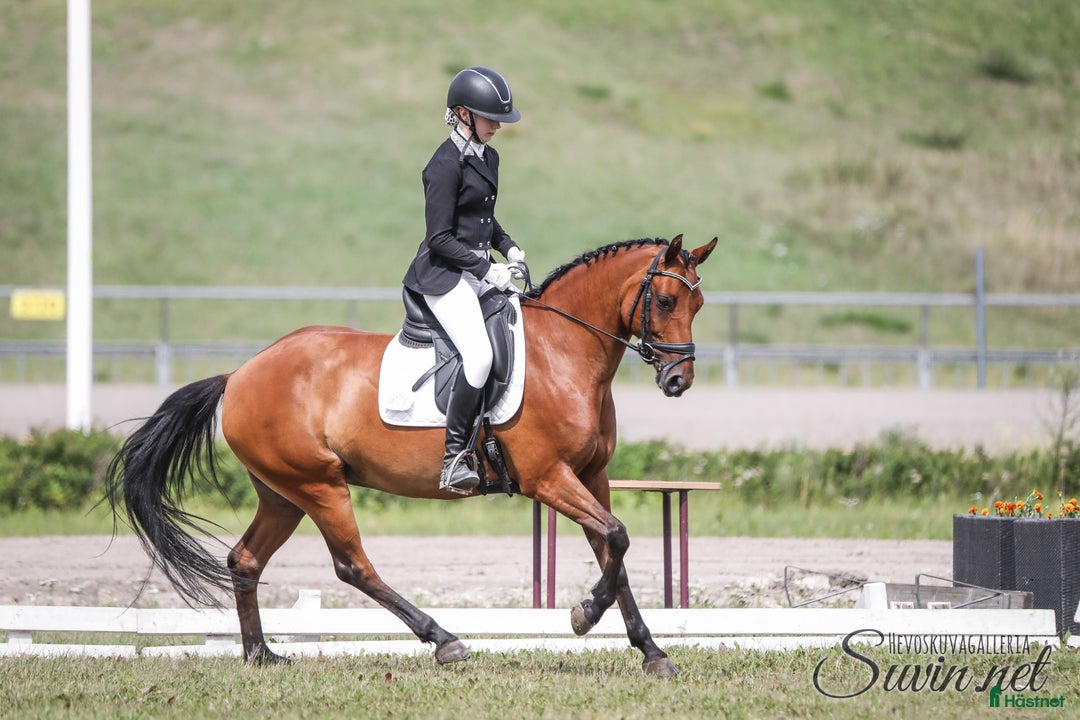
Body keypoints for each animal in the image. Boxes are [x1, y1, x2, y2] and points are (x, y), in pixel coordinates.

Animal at [105, 234, 717, 677]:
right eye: (665, 300)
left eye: (699, 303)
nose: (678, 380)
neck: (564, 352)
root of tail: (240, 374)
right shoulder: (548, 477)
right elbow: (616, 538)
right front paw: (583, 616)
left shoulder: (592, 476)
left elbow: (613, 552)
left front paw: (651, 651)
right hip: (319, 485)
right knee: (353, 565)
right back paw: (443, 640)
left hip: (283, 493)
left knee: (245, 560)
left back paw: (262, 656)